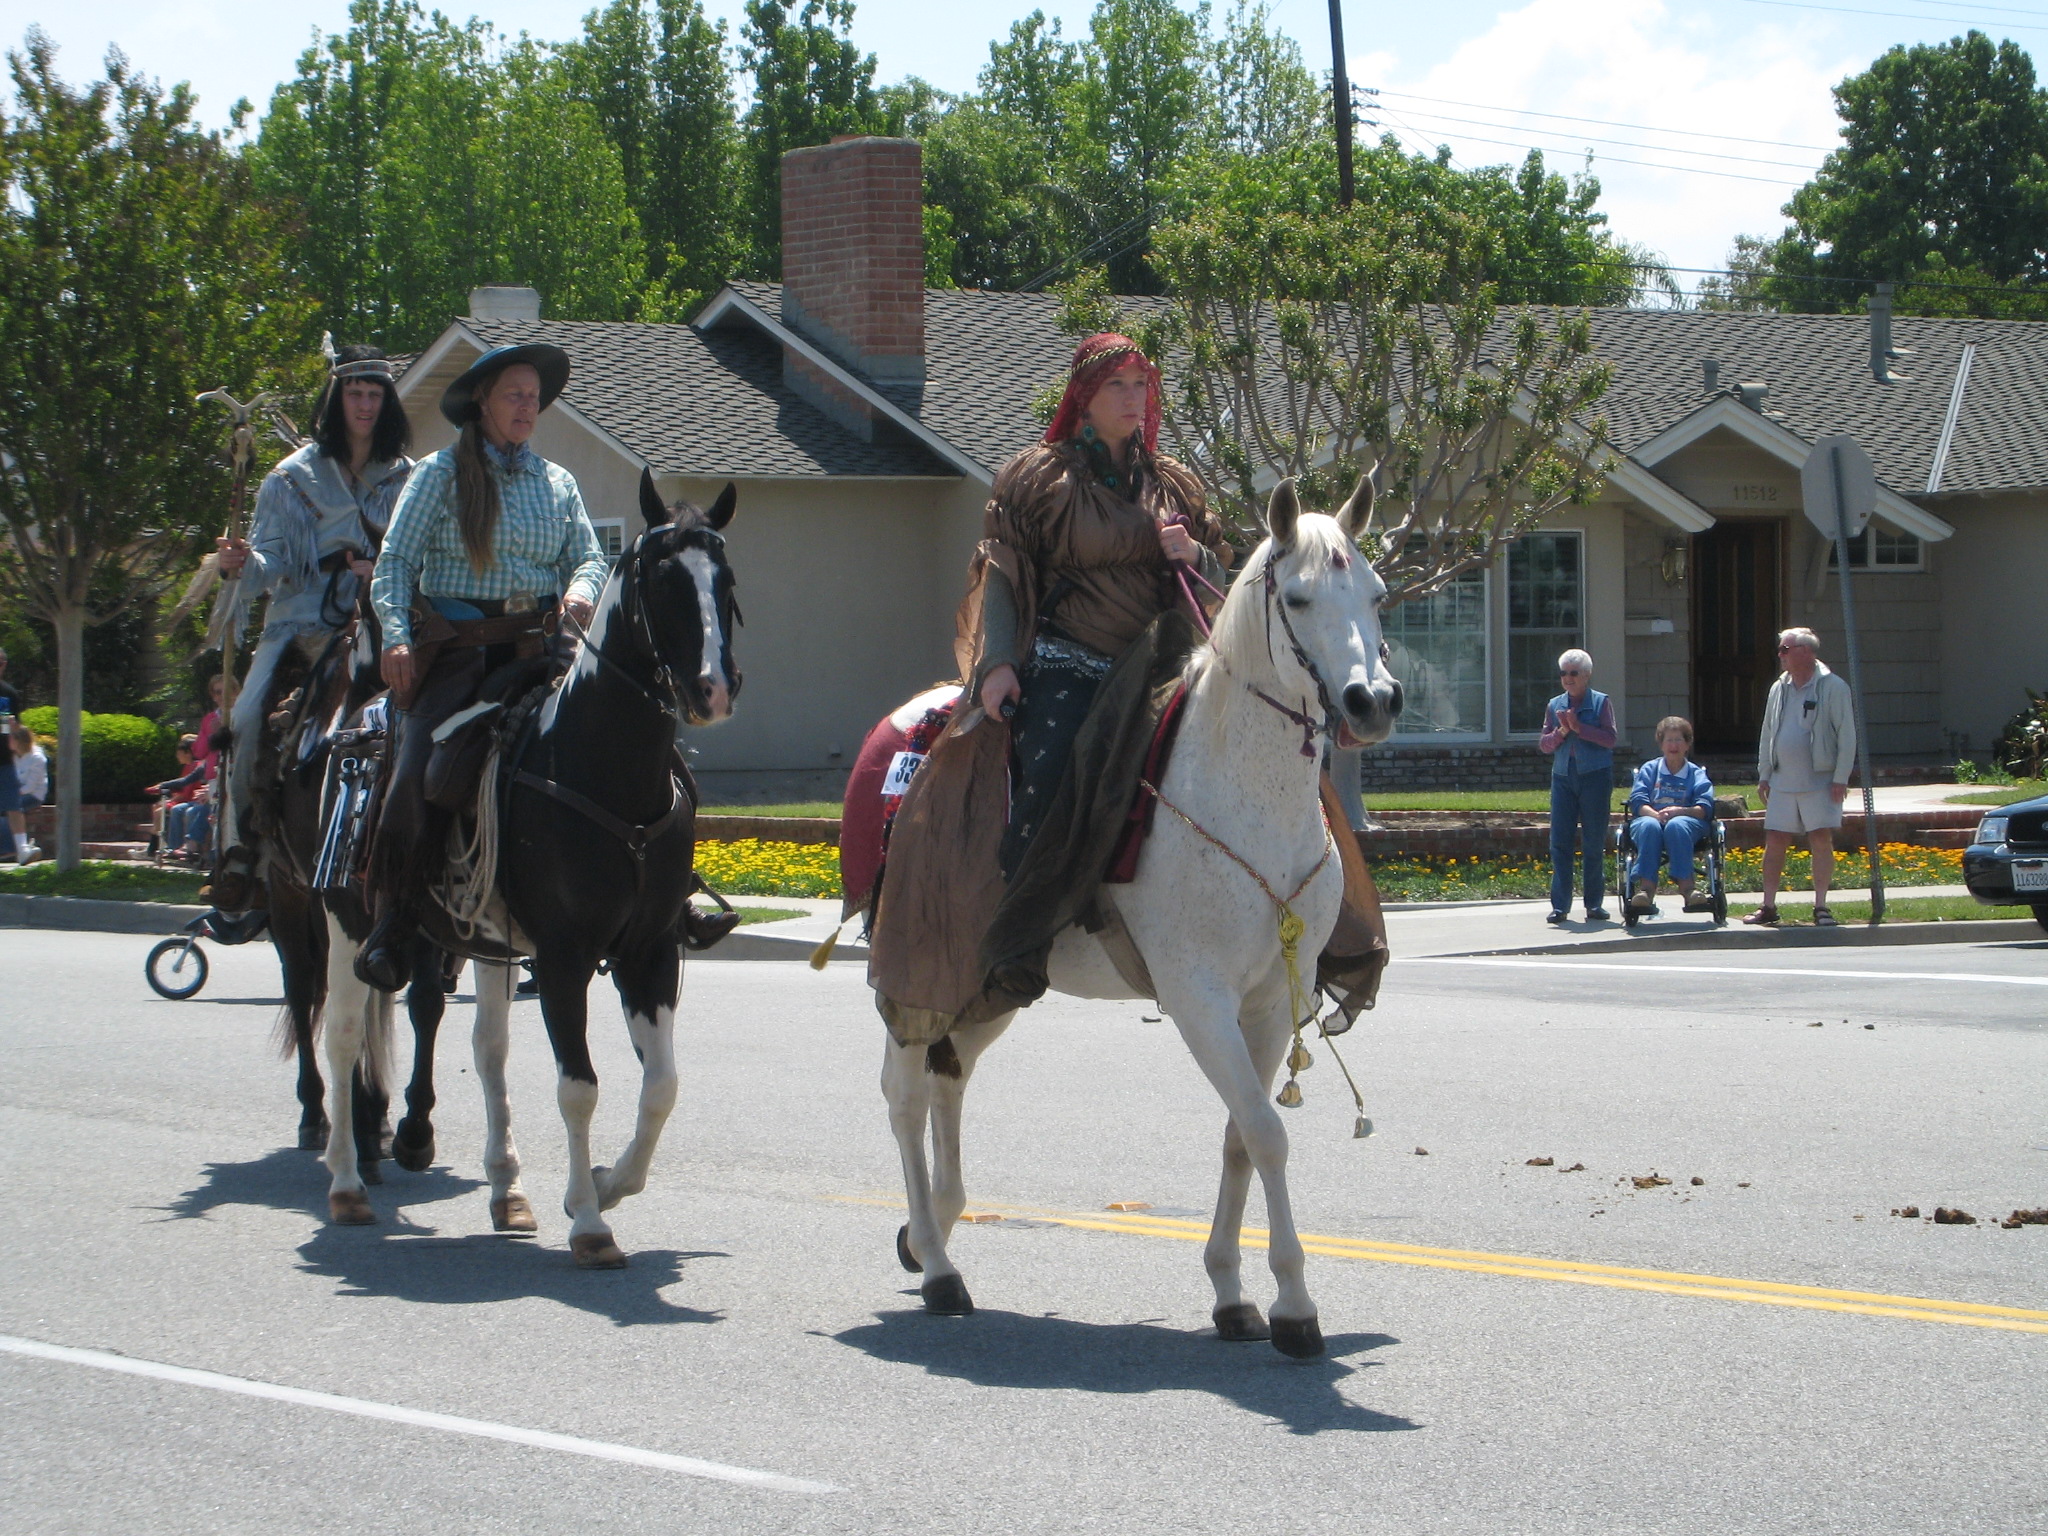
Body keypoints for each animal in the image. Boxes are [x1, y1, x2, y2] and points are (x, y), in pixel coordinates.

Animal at [315, 475, 741, 1269]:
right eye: (661, 581)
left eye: (725, 581)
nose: (714, 689)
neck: (603, 768)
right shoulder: (567, 957)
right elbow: (579, 1087)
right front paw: (591, 1225)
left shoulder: (650, 951)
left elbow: (661, 1086)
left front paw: (604, 1185)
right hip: (346, 921)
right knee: (344, 1036)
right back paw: (348, 1184)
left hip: (483, 944)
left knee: (488, 1051)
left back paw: (503, 1190)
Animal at [888, 479, 1400, 1359]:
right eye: (1298, 597)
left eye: (1375, 594)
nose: (1374, 702)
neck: (1242, 795)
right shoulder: (1199, 998)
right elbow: (1267, 1132)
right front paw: (1296, 1307)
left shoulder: (1271, 1002)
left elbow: (1241, 1133)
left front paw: (1233, 1295)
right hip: (922, 973)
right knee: (906, 1097)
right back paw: (939, 1267)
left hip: (993, 991)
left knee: (949, 1083)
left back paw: (938, 1239)